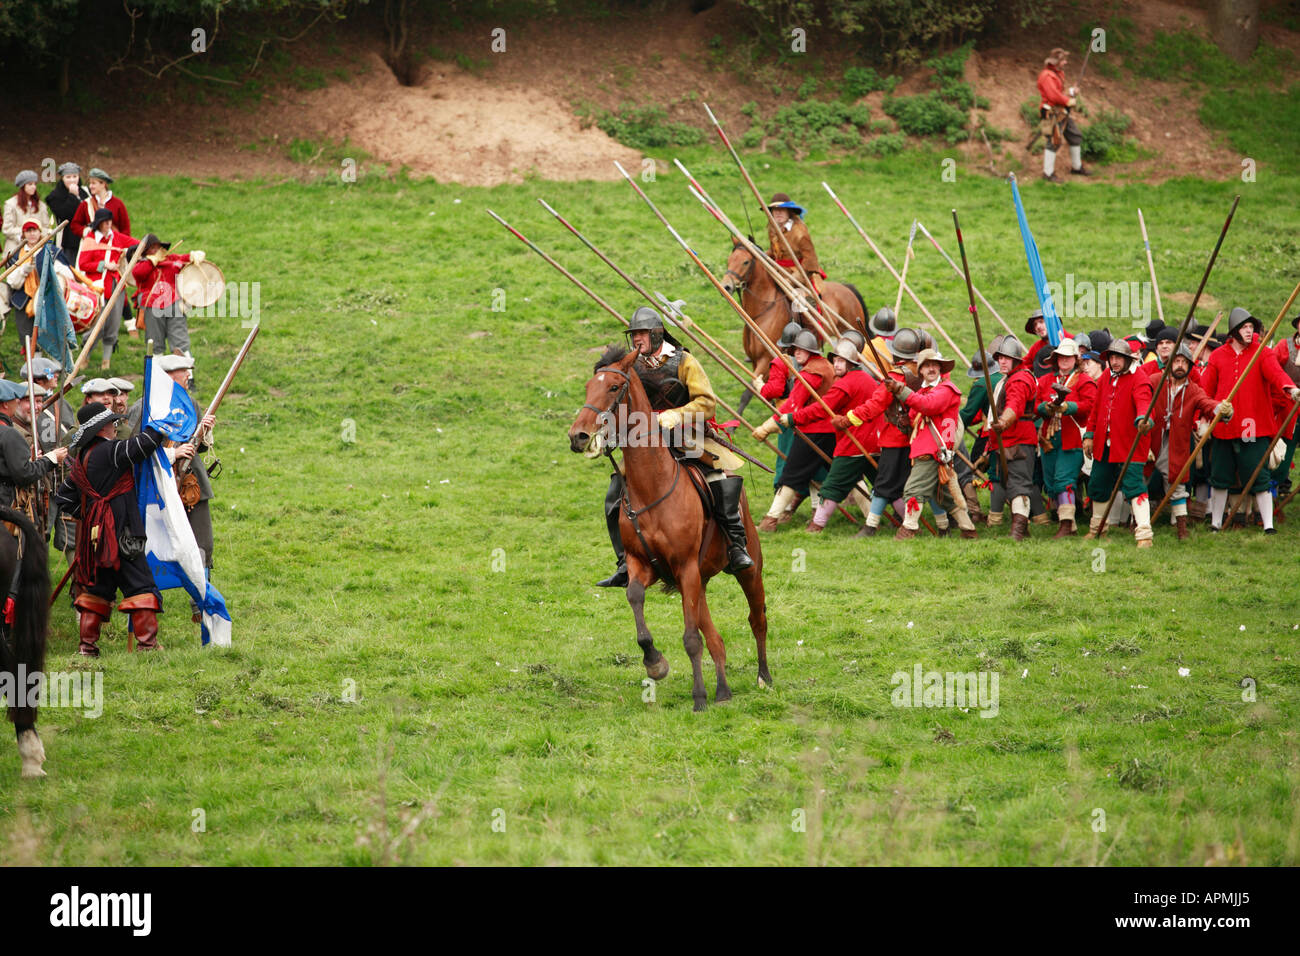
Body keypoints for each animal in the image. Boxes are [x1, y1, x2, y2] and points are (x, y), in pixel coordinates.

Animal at [569, 351, 769, 712]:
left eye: (614, 387)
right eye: (590, 386)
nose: (577, 436)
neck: (653, 484)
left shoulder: (686, 567)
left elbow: (691, 639)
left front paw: (698, 698)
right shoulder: (645, 565)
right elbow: (635, 596)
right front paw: (654, 662)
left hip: (747, 570)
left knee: (756, 618)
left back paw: (764, 677)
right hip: (698, 582)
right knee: (715, 638)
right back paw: (723, 690)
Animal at [722, 238, 873, 411]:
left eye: (745, 262)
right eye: (729, 260)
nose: (726, 286)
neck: (763, 311)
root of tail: (847, 289)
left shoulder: (765, 359)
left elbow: (749, 392)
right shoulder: (756, 361)